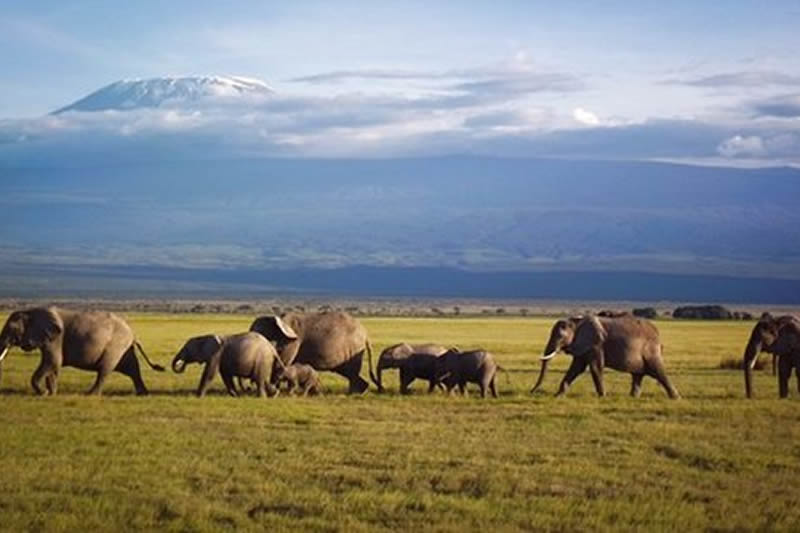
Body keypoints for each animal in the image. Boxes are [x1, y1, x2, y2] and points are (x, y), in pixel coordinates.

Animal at [0, 308, 165, 394]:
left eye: (12, 328)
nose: (45, 392)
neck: (31, 311)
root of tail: (133, 334)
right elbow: (53, 366)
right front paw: (52, 393)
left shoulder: (55, 339)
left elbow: (52, 362)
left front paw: (43, 393)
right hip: (124, 348)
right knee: (133, 369)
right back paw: (143, 394)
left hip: (116, 346)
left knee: (105, 370)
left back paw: (91, 394)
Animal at [532, 314, 680, 396]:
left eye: (560, 336)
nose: (532, 391)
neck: (576, 321)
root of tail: (658, 335)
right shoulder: (582, 344)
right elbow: (576, 368)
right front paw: (558, 396)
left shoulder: (596, 344)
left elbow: (595, 368)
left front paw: (602, 396)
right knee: (637, 375)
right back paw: (633, 397)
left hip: (650, 350)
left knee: (659, 372)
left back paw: (676, 398)